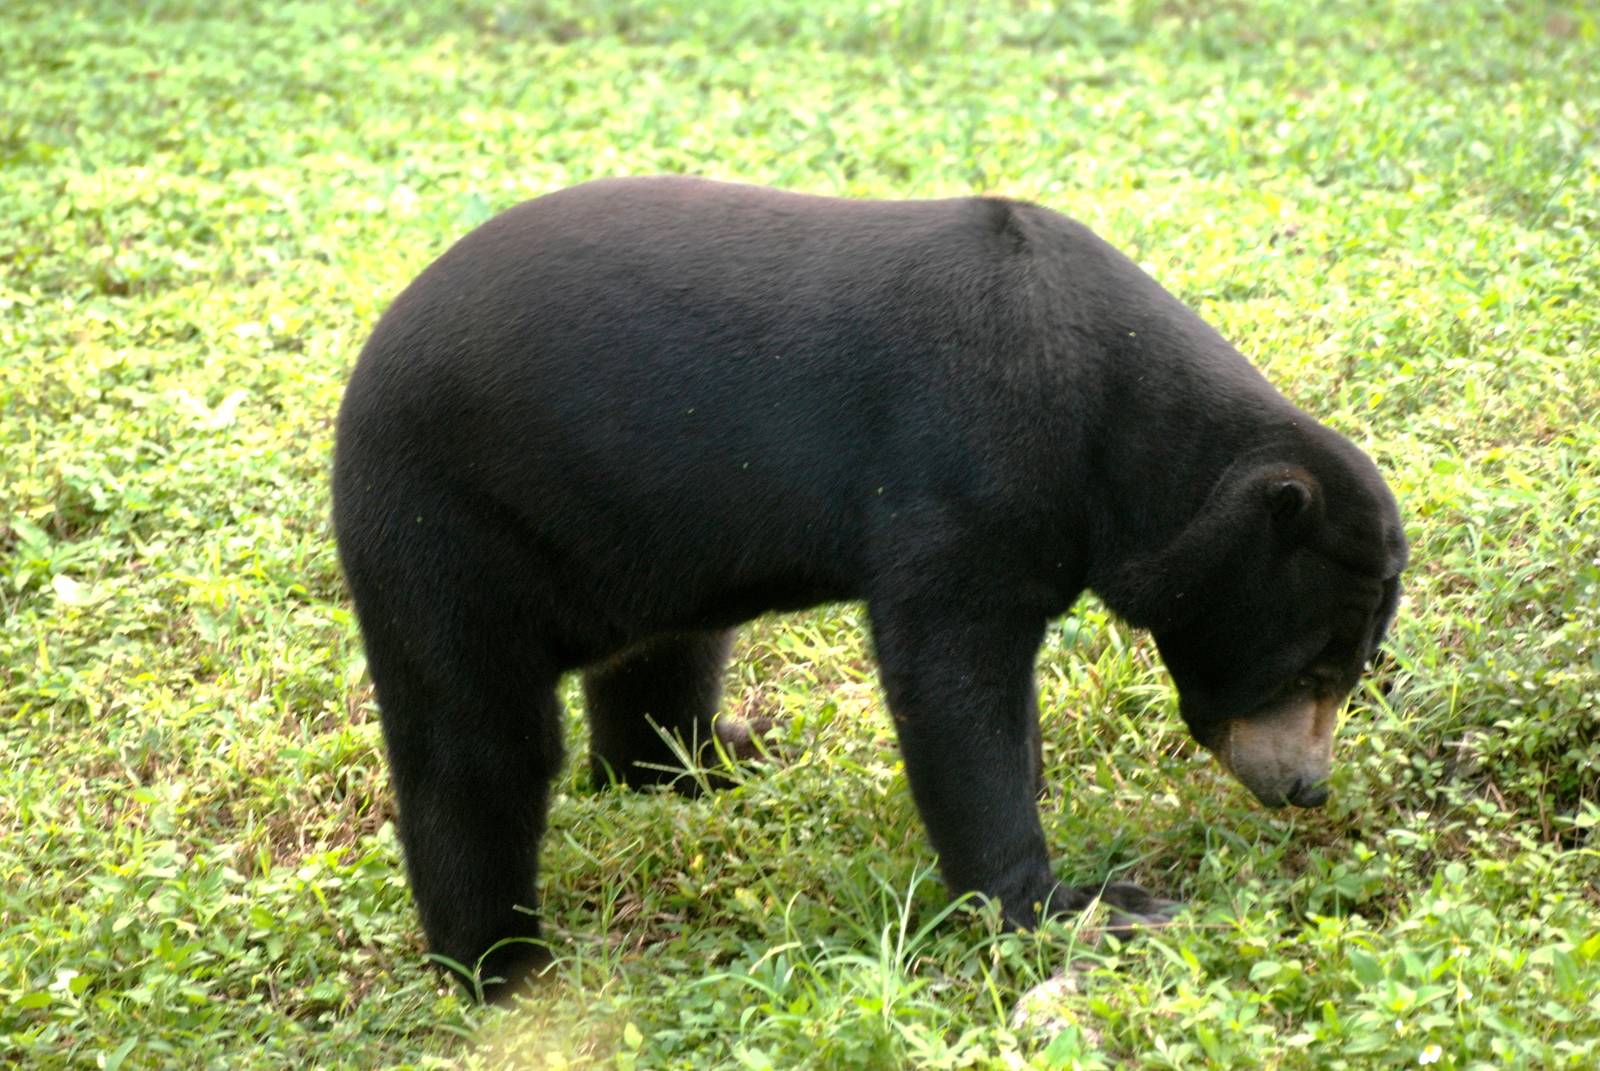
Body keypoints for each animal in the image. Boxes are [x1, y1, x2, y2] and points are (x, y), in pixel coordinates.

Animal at [332, 176, 1407, 1001]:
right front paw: (1085, 907)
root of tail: (369, 361)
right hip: (452, 524)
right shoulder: (965, 477)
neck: (1115, 429)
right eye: (1312, 669)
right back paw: (504, 968)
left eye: (1352, 672)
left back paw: (714, 759)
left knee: (665, 663)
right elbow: (953, 691)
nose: (1305, 787)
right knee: (475, 744)